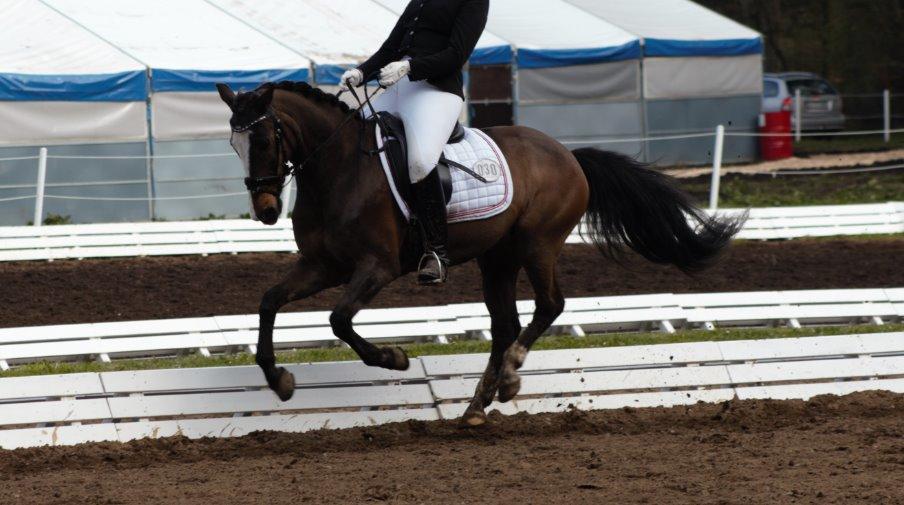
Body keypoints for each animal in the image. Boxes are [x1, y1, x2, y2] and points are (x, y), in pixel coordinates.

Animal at [216, 81, 744, 426]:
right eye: (233, 143)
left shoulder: (376, 267)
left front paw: (394, 359)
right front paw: (279, 380)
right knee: (505, 324)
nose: (266, 210)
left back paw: (508, 378)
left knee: (549, 306)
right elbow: (269, 301)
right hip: (498, 258)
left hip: (537, 243)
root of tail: (567, 154)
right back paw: (476, 406)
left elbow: (339, 320)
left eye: (261, 137)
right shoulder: (322, 266)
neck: (340, 169)